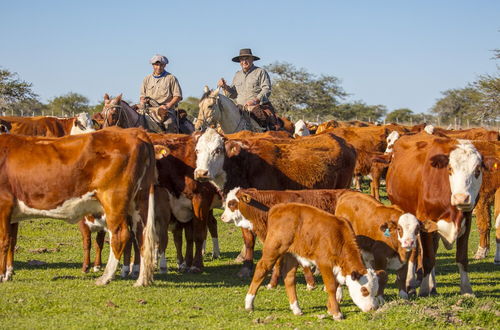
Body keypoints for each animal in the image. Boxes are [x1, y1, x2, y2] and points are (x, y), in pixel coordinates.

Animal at [0, 127, 158, 286]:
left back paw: (105, 277)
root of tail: (134, 132)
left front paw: (2, 275)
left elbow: (4, 241)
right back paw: (141, 280)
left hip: (113, 200)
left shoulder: (4, 205)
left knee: (120, 235)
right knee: (141, 236)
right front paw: (8, 273)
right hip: (139, 202)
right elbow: (11, 241)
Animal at [193, 127, 358, 278]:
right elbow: (248, 239)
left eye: (217, 150)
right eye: (197, 150)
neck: (243, 165)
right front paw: (246, 267)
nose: (201, 173)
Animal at [244, 202, 384, 320]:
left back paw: (296, 309)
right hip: (273, 248)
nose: (373, 308)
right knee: (261, 269)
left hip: (292, 254)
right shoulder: (324, 263)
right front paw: (337, 313)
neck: (338, 237)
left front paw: (330, 308)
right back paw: (249, 304)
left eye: (375, 291)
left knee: (289, 278)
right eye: (364, 290)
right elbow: (331, 286)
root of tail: (280, 207)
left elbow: (336, 285)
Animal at [386, 133, 488, 296]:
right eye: (450, 169)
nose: (461, 198)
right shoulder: (424, 220)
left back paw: (432, 285)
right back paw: (410, 282)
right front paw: (423, 289)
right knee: (414, 250)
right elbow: (427, 258)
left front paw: (467, 290)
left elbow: (461, 257)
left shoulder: (466, 220)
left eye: (477, 170)